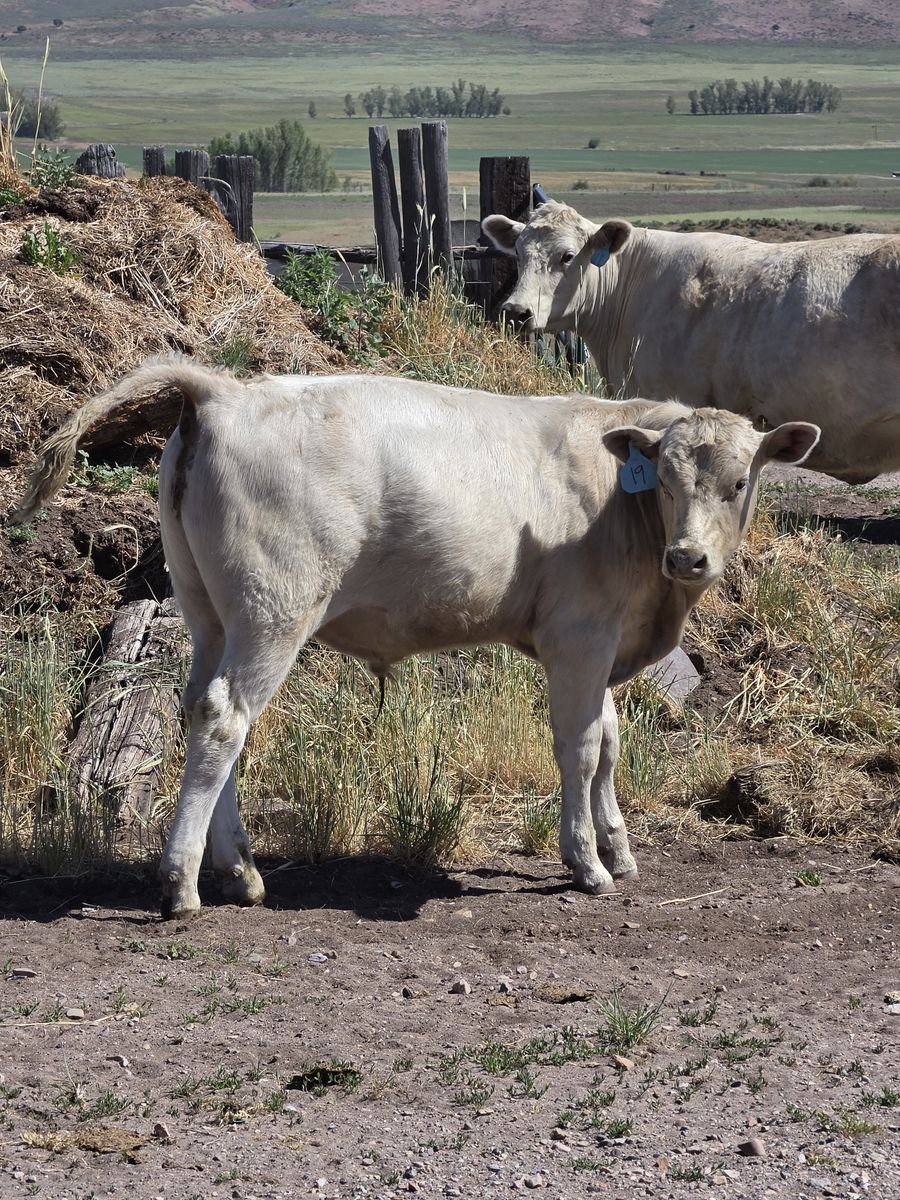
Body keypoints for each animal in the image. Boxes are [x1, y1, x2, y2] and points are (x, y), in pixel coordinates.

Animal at [12, 358, 819, 917]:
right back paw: (183, 883)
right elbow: (583, 748)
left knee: (203, 711)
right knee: (224, 718)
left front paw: (618, 850)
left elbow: (611, 744)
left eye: (739, 482)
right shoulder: (581, 636)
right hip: (275, 610)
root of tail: (225, 391)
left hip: (210, 611)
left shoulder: (598, 640)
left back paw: (237, 869)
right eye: (668, 483)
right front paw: (586, 863)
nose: (688, 557)